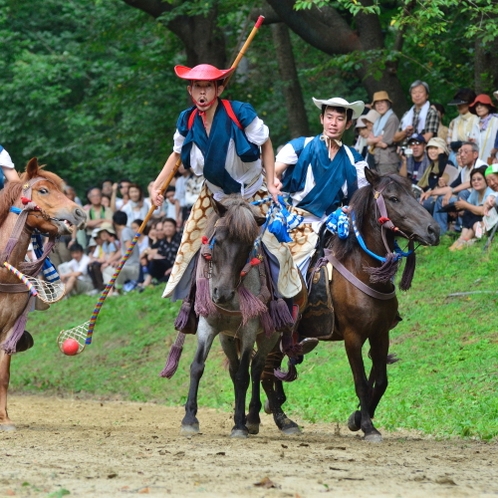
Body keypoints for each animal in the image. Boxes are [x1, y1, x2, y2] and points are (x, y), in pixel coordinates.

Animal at [260, 169, 440, 442]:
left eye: (414, 194)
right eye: (393, 198)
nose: (433, 229)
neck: (363, 270)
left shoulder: (380, 334)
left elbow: (381, 381)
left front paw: (357, 418)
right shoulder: (353, 337)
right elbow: (361, 383)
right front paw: (368, 426)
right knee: (262, 371)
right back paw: (280, 420)